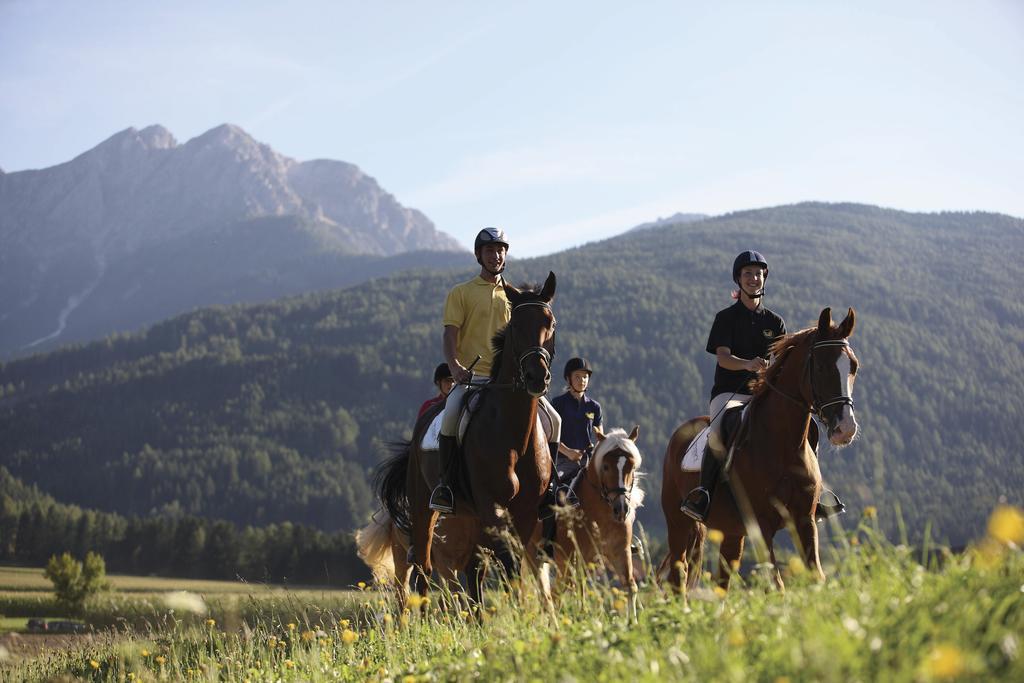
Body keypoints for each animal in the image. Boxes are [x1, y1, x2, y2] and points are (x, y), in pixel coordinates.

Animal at [659, 307, 860, 589]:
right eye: (821, 367)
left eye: (853, 367)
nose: (846, 429)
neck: (783, 446)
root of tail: (679, 434)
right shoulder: (762, 525)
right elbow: (775, 585)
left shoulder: (805, 520)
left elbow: (816, 576)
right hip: (678, 522)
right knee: (679, 573)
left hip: (731, 530)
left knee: (723, 577)